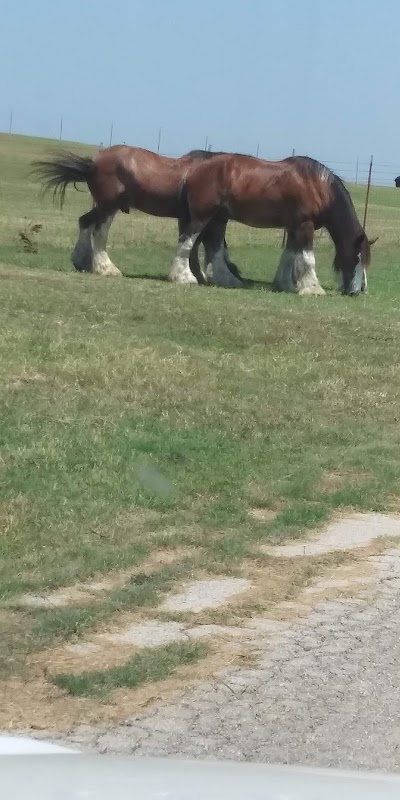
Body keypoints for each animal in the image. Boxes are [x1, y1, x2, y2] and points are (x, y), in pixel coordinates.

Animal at [31, 147, 242, 288]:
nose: (240, 273)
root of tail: (93, 162)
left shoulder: (189, 218)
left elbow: (200, 245)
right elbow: (201, 244)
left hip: (104, 205)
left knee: (85, 221)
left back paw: (82, 261)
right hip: (109, 207)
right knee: (99, 232)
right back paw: (106, 268)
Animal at [173, 155, 376, 296]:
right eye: (357, 258)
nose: (359, 290)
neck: (316, 185)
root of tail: (192, 171)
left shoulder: (294, 228)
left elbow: (289, 256)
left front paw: (284, 285)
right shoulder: (305, 226)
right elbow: (307, 258)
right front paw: (313, 289)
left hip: (218, 219)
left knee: (213, 247)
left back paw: (225, 280)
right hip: (202, 217)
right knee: (186, 241)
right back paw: (183, 277)